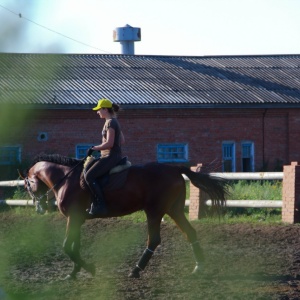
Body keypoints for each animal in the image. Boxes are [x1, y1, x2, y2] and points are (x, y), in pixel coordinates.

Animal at [24, 154, 227, 280]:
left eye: (27, 185)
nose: (39, 208)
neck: (66, 178)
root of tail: (175, 169)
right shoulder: (76, 220)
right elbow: (75, 246)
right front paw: (74, 273)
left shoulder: (73, 218)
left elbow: (67, 246)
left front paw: (89, 268)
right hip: (174, 209)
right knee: (190, 233)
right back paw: (199, 267)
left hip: (154, 211)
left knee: (154, 240)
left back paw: (136, 270)